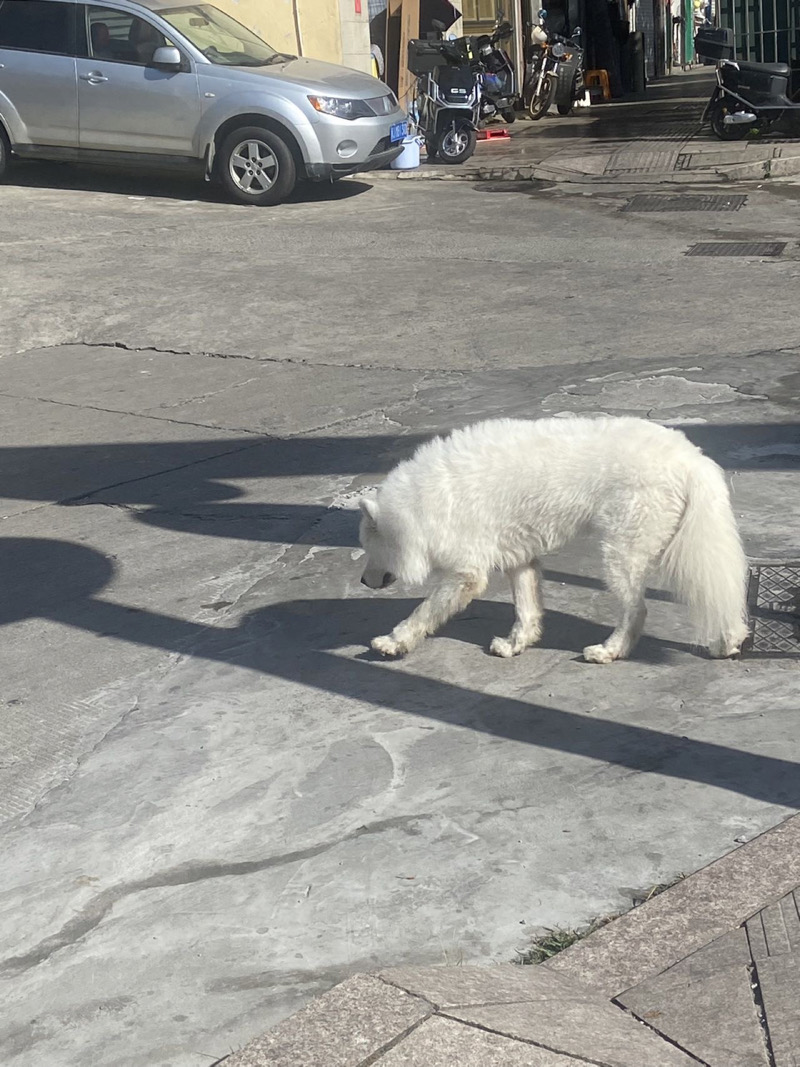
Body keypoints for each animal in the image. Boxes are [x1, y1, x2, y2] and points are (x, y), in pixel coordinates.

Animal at [358, 413, 750, 657]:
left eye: (368, 549)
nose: (362, 581)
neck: (424, 502)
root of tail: (691, 459)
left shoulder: (465, 575)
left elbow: (421, 613)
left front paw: (393, 642)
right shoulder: (519, 559)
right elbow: (527, 609)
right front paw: (516, 645)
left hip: (621, 553)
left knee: (636, 610)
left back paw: (610, 651)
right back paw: (728, 643)